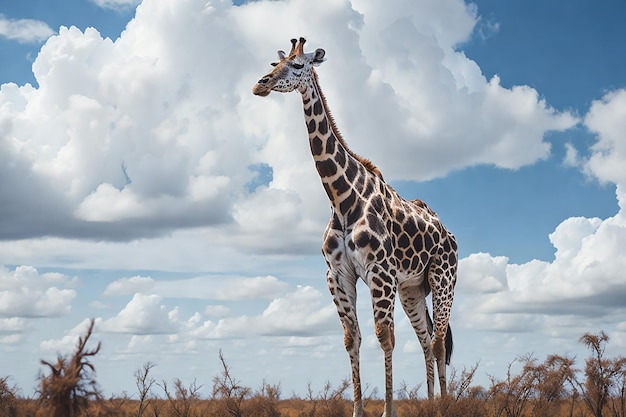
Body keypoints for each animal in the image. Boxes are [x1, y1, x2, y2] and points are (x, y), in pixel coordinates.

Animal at [251, 37, 456, 414]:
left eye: (298, 65)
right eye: (276, 63)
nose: (261, 84)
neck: (340, 199)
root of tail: (450, 235)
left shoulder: (380, 271)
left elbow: (384, 337)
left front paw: (388, 410)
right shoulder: (338, 274)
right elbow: (351, 339)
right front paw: (357, 409)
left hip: (443, 278)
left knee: (437, 342)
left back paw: (445, 405)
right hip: (412, 289)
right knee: (424, 339)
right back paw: (431, 402)